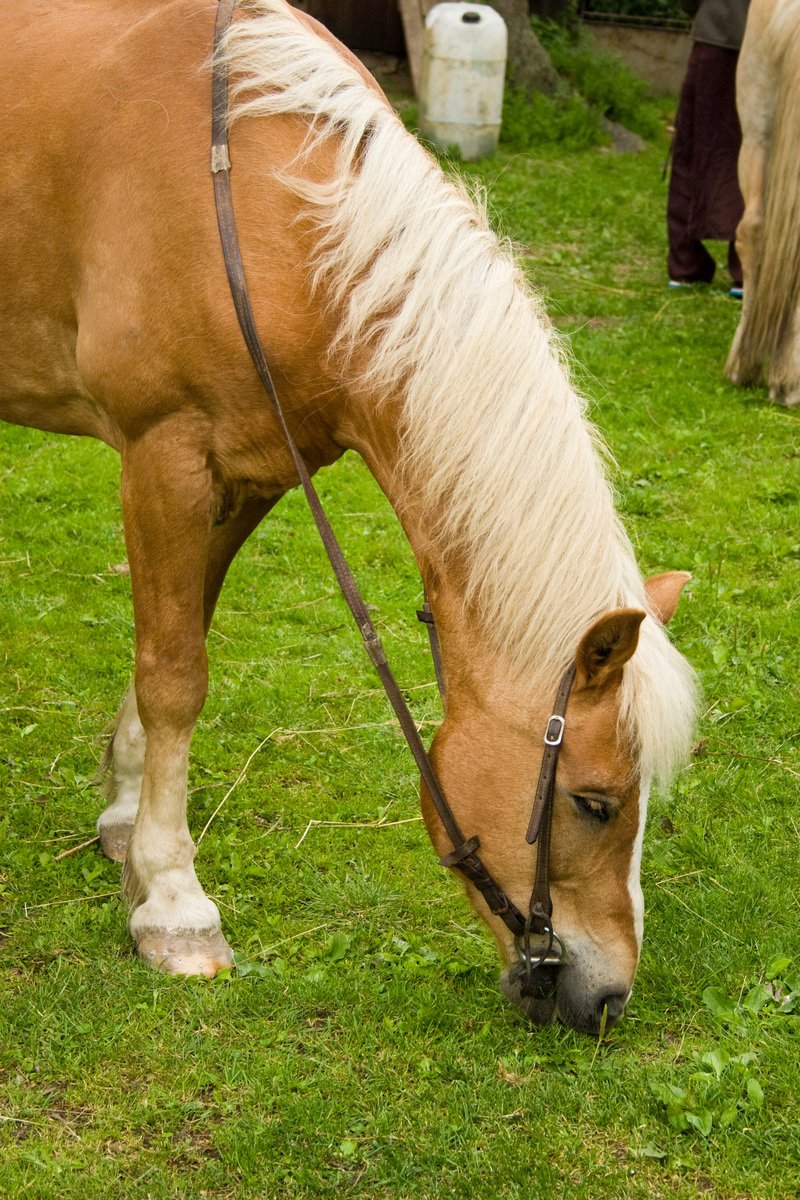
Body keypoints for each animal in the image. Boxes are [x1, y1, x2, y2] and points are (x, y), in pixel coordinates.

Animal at [0, 0, 695, 1032]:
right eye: (596, 803)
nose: (608, 998)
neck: (261, 207)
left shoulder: (248, 475)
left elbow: (177, 640)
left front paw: (127, 823)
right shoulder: (166, 457)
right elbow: (174, 676)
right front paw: (172, 900)